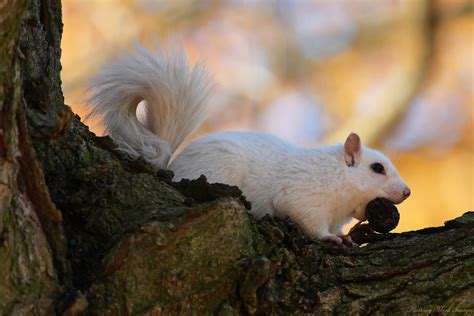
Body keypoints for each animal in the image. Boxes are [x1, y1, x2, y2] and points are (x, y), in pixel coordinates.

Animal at [88, 45, 412, 246]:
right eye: (377, 168)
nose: (407, 192)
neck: (338, 178)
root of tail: (171, 167)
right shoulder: (302, 196)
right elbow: (308, 220)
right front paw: (329, 238)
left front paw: (345, 235)